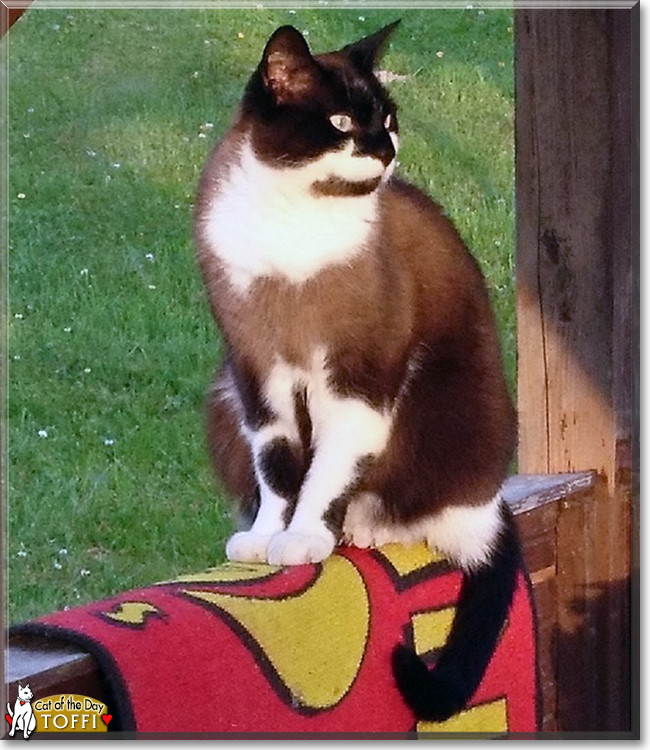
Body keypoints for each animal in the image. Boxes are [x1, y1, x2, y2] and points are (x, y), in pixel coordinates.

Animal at [190, 19, 520, 724]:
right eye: (342, 121)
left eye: (388, 119)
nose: (385, 149)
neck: (292, 230)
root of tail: (492, 501)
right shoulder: (258, 370)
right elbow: (278, 469)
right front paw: (266, 540)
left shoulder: (356, 376)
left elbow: (324, 475)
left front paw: (303, 540)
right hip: (222, 395)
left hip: (433, 404)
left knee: (406, 508)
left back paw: (361, 527)